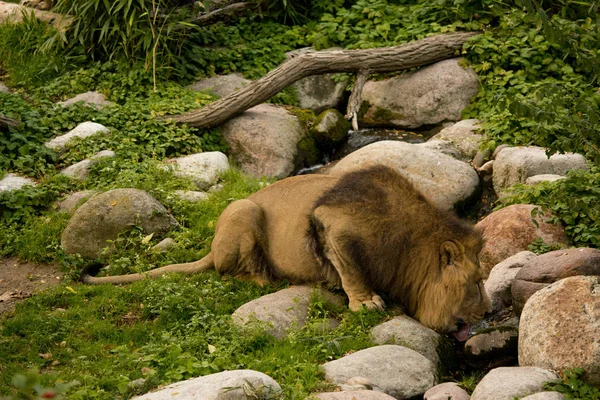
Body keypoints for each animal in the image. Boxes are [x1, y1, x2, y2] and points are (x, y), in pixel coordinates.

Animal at [81, 165, 492, 338]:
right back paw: (269, 278)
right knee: (229, 273)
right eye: (475, 283)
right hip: (243, 210)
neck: (410, 246)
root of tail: (210, 248)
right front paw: (366, 302)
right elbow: (351, 269)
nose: (490, 311)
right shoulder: (332, 224)